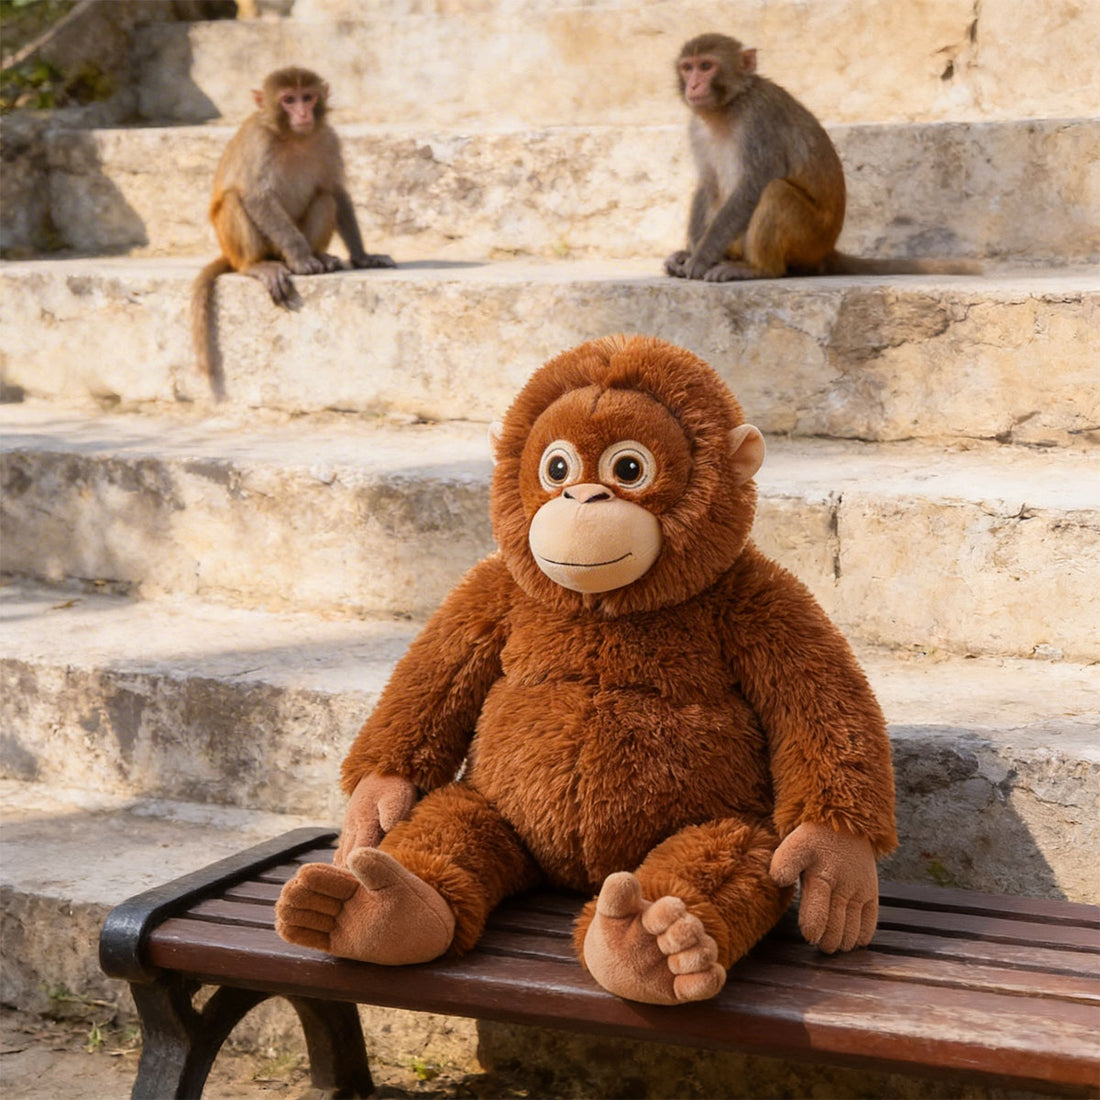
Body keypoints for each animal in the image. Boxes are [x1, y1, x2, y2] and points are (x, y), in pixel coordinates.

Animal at [191, 66, 395, 388]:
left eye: (307, 97)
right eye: (288, 100)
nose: (302, 113)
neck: (293, 137)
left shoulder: (328, 138)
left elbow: (336, 191)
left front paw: (363, 256)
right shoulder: (260, 143)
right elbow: (257, 197)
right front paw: (300, 258)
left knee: (324, 197)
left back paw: (320, 255)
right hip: (247, 245)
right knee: (236, 200)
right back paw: (258, 265)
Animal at [665, 33, 979, 281]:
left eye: (706, 66)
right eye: (687, 68)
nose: (693, 86)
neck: (728, 107)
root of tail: (827, 250)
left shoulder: (759, 119)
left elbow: (752, 186)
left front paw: (701, 257)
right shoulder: (697, 127)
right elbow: (707, 184)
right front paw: (689, 254)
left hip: (809, 239)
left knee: (776, 191)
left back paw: (758, 269)